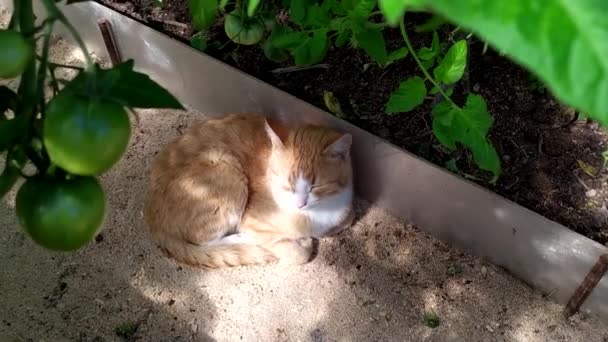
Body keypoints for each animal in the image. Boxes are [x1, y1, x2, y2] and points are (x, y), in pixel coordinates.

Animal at [143, 113, 354, 268]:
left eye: (316, 186)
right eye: (287, 184)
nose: (300, 204)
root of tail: (151, 217)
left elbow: (344, 221)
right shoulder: (254, 221)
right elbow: (297, 254)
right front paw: (300, 242)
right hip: (225, 168)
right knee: (205, 241)